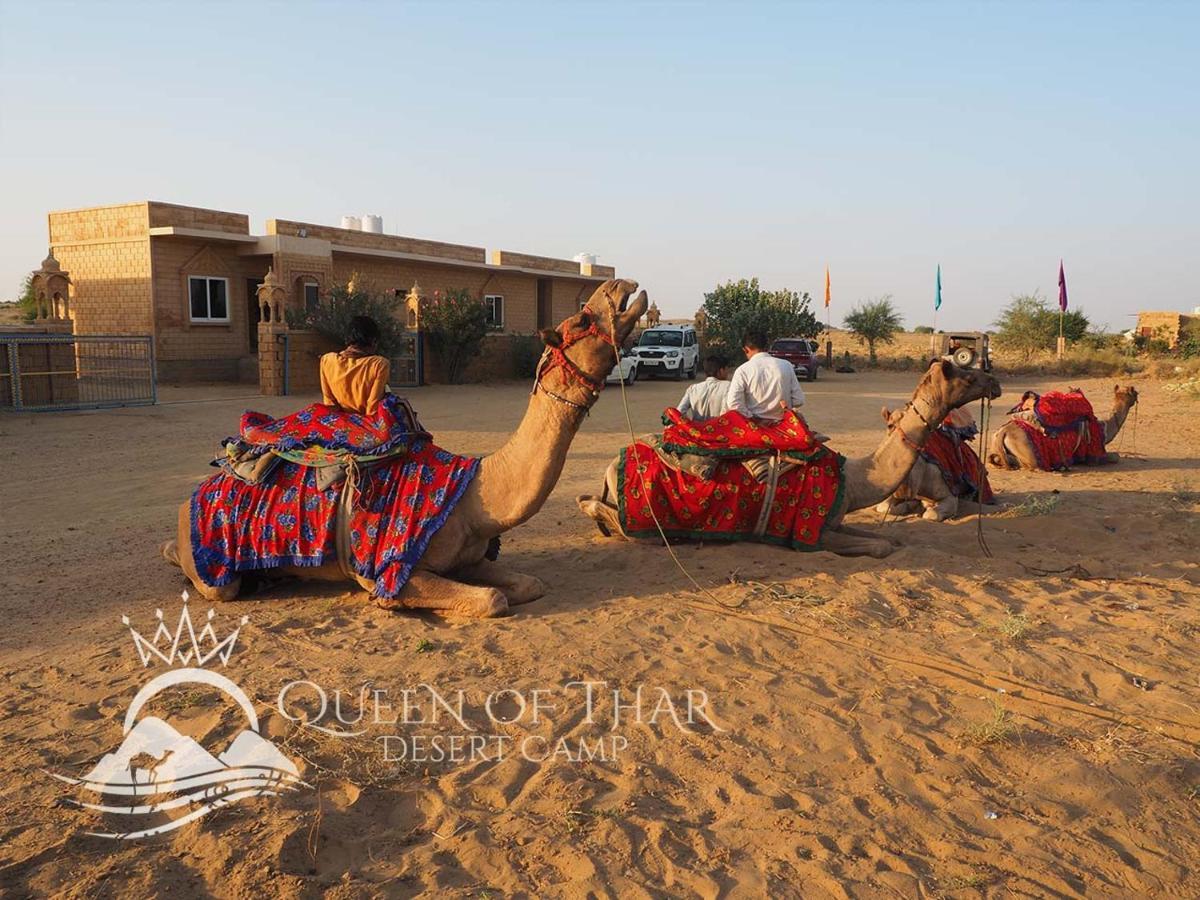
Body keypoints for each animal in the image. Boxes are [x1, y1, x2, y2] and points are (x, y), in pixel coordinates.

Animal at [165, 282, 652, 619]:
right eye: (582, 322)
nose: (623, 286)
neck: (473, 499)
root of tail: (190, 499)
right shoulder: (394, 570)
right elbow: (493, 599)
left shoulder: (470, 558)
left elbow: (531, 584)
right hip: (214, 569)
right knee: (211, 581)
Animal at [576, 357, 998, 556]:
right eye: (965, 374)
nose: (993, 381)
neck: (856, 480)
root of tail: (611, 465)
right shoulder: (814, 532)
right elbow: (880, 546)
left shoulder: (837, 520)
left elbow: (889, 539)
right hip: (646, 516)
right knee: (602, 511)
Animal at [988, 384, 1137, 472]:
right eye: (1134, 393)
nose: (1137, 392)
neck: (1104, 429)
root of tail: (1003, 432)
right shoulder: (1094, 455)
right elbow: (1116, 456)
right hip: (1028, 452)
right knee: (1029, 464)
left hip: (995, 441)